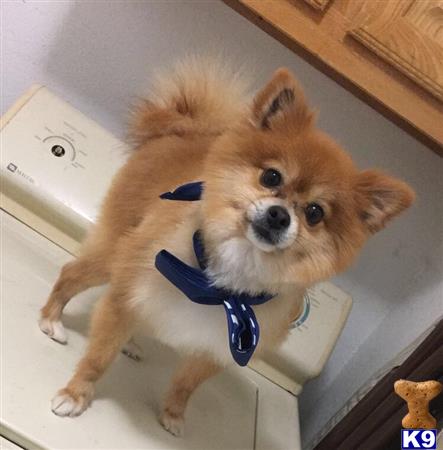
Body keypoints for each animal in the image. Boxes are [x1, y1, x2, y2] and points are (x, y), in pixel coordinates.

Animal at [39, 56, 416, 436]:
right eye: (271, 177)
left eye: (314, 213)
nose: (280, 215)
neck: (221, 285)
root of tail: (183, 131)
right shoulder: (125, 295)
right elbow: (98, 358)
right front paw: (76, 394)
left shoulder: (219, 347)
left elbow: (186, 385)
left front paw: (173, 415)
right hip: (114, 251)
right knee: (71, 273)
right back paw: (52, 321)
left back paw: (130, 342)